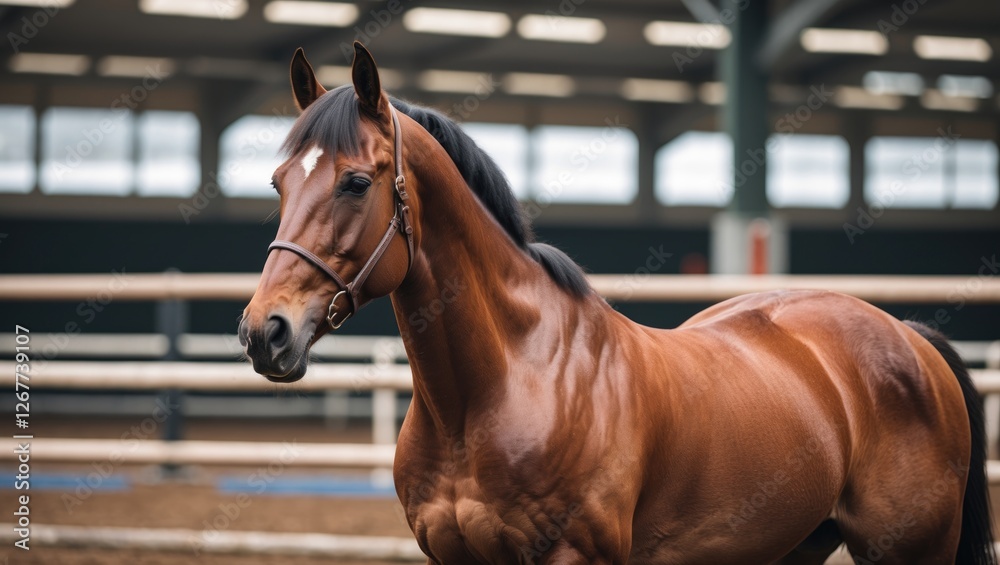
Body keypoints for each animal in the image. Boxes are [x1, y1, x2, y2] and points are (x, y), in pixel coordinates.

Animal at [239, 42, 995, 564]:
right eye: (279, 181)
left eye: (355, 182)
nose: (264, 332)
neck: (501, 387)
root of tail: (908, 336)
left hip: (911, 550)